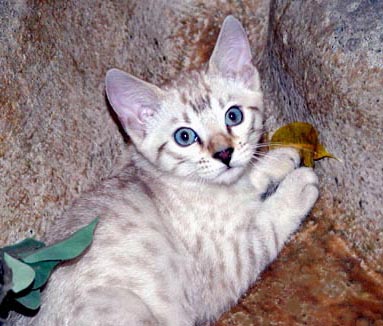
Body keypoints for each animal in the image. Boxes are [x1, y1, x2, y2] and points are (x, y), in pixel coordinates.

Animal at [12, 15, 318, 326]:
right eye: (185, 136)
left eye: (234, 116)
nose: (224, 153)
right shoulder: (229, 265)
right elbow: (267, 224)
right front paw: (298, 185)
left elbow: (253, 175)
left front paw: (280, 157)